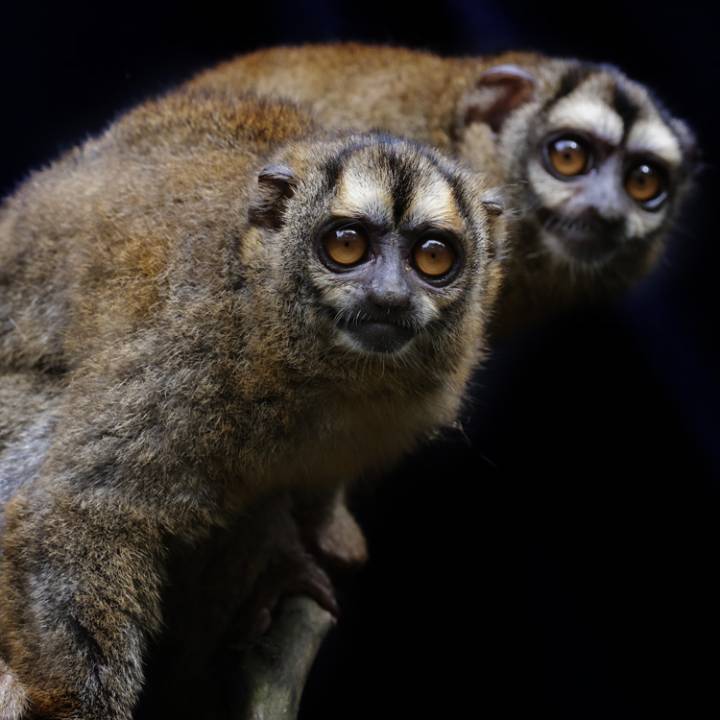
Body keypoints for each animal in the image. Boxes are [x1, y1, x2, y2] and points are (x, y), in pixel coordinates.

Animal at [0, 87, 505, 719]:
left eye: (434, 257)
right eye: (346, 246)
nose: (389, 297)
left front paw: (314, 538)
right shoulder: (190, 359)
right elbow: (78, 505)